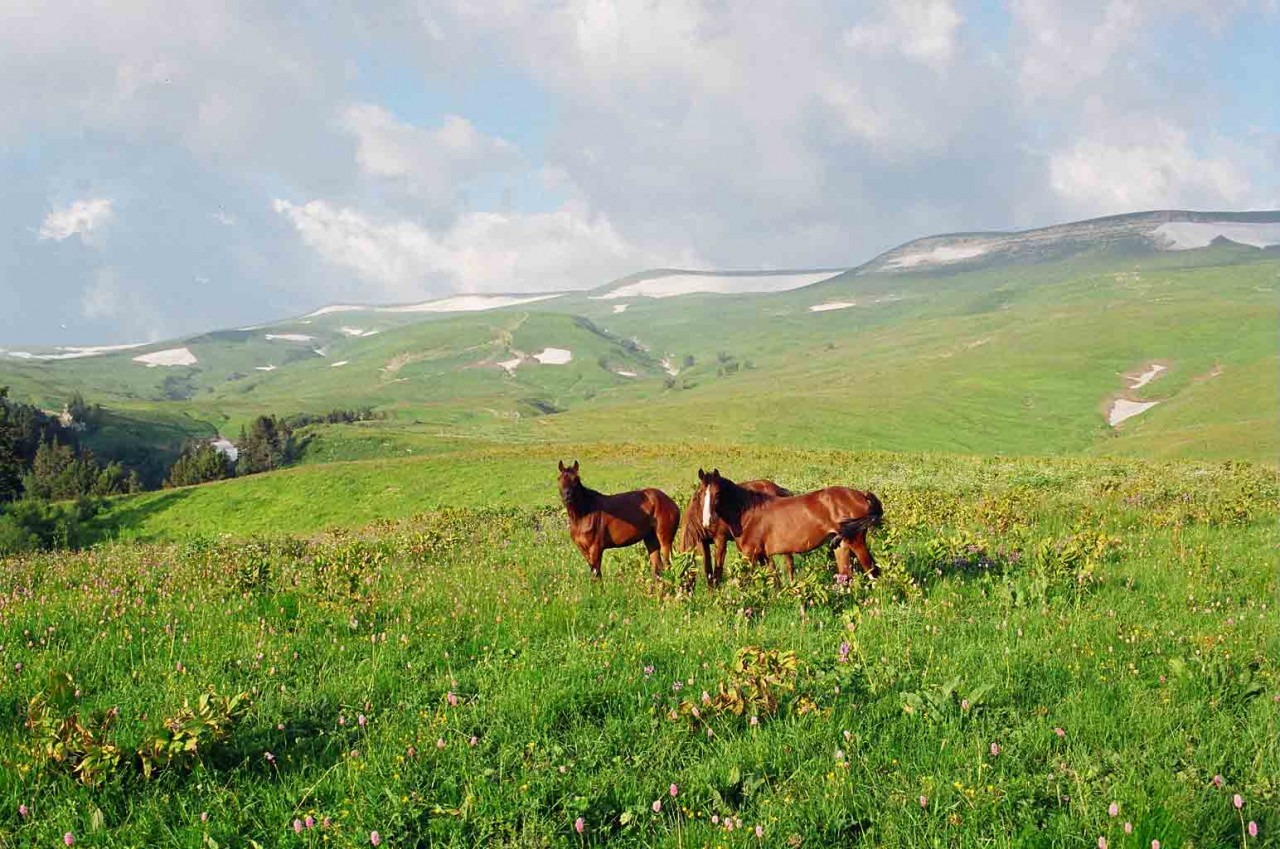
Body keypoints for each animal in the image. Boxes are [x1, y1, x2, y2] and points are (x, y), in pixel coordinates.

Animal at [701, 468, 880, 581]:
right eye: (701, 493)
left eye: (718, 494)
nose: (707, 522)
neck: (749, 512)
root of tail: (862, 495)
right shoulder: (764, 555)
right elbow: (773, 581)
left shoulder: (749, 555)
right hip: (840, 545)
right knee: (846, 576)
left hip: (856, 542)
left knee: (872, 571)